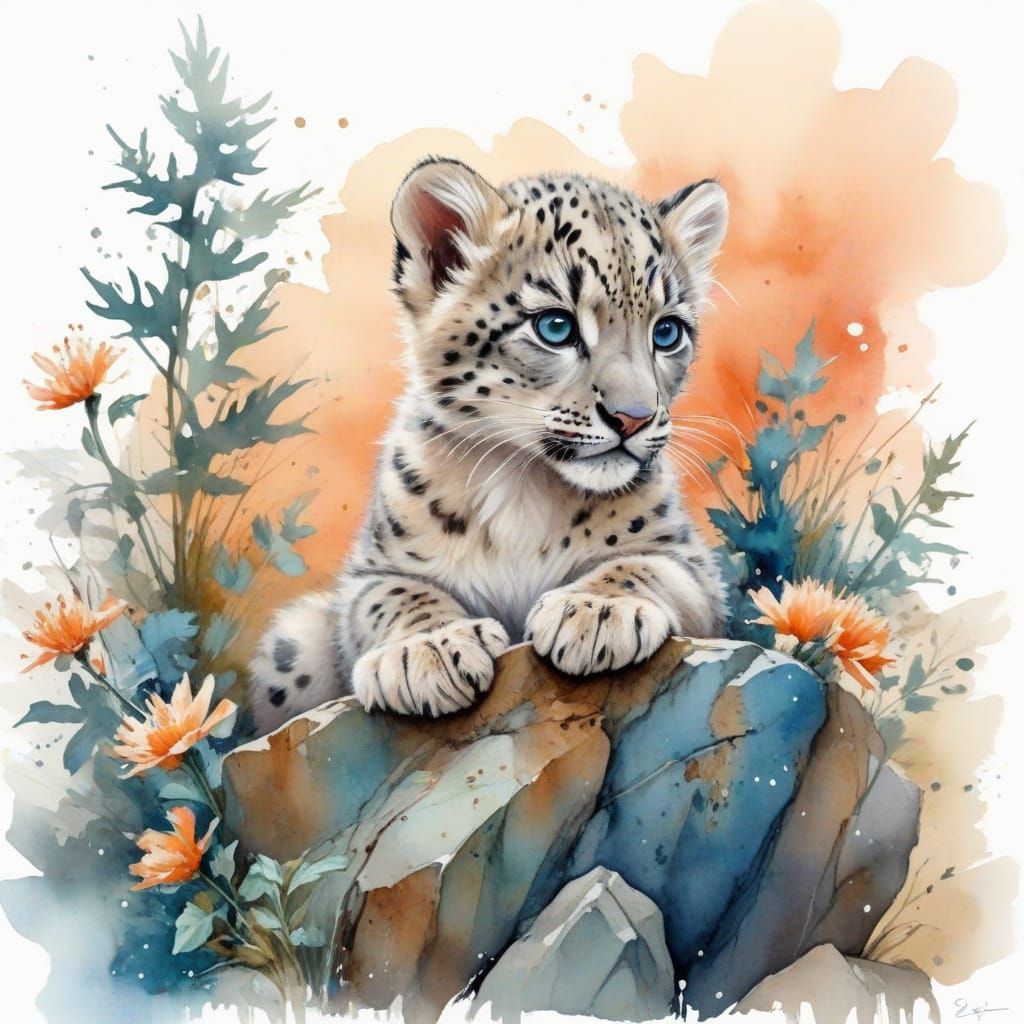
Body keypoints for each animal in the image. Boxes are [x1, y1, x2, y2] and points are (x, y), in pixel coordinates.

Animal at [249, 156, 729, 732]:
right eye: (556, 326)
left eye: (666, 333)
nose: (632, 418)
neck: (524, 486)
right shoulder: (375, 570)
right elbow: (392, 595)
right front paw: (427, 648)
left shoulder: (692, 562)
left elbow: (646, 565)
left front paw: (595, 611)